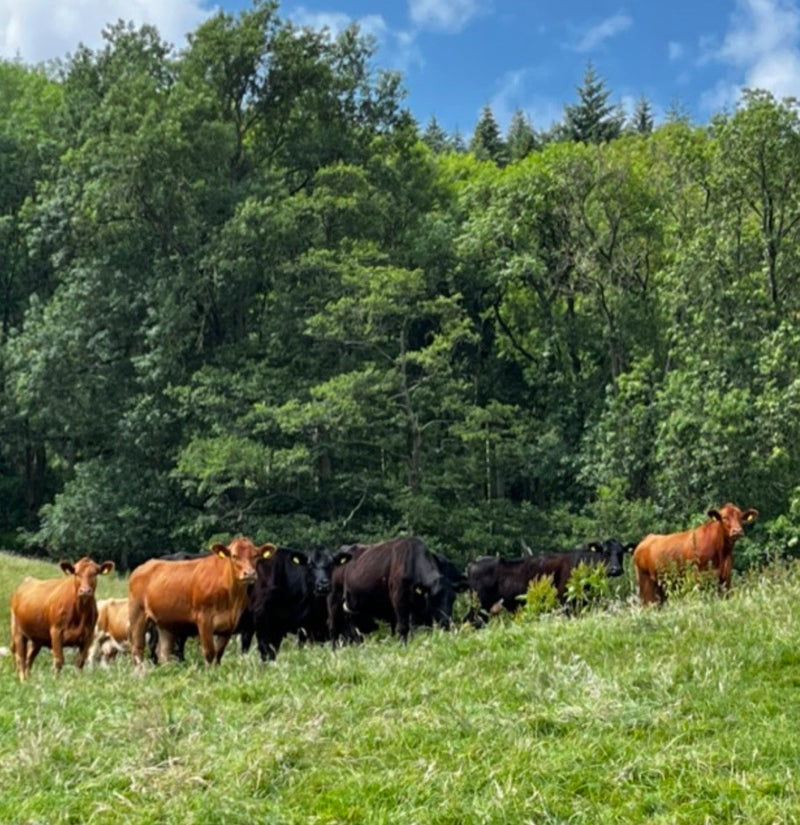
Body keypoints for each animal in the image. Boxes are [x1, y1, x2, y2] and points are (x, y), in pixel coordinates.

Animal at [128, 537, 275, 667]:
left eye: (256, 556)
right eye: (234, 556)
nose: (250, 574)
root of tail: (144, 565)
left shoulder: (229, 625)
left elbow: (218, 655)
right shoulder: (204, 620)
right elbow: (210, 653)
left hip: (165, 622)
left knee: (164, 652)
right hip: (138, 615)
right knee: (138, 648)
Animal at [328, 537, 458, 644]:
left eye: (453, 599)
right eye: (433, 598)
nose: (446, 622)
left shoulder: (419, 607)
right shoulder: (399, 599)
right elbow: (403, 627)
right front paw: (402, 646)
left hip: (357, 607)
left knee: (357, 631)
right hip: (334, 600)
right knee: (334, 629)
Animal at [466, 539, 634, 619]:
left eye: (621, 553)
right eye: (605, 552)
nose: (616, 569)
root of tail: (473, 564)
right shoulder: (565, 602)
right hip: (479, 605)